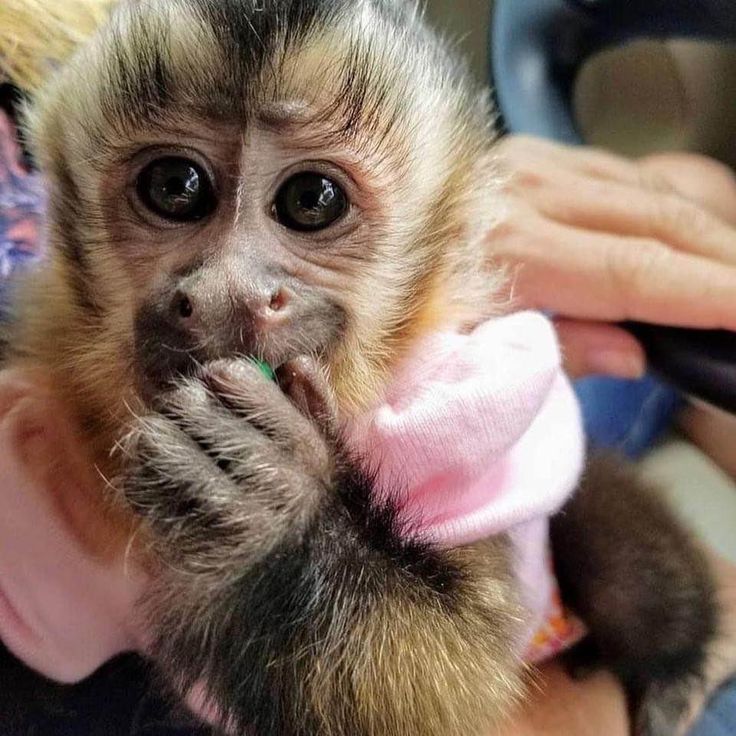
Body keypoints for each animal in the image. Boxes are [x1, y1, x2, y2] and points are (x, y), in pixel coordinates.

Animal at [0, 1, 720, 736]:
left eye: (312, 199)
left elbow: (447, 691)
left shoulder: (467, 429)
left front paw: (274, 512)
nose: (228, 293)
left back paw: (670, 667)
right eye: (175, 187)